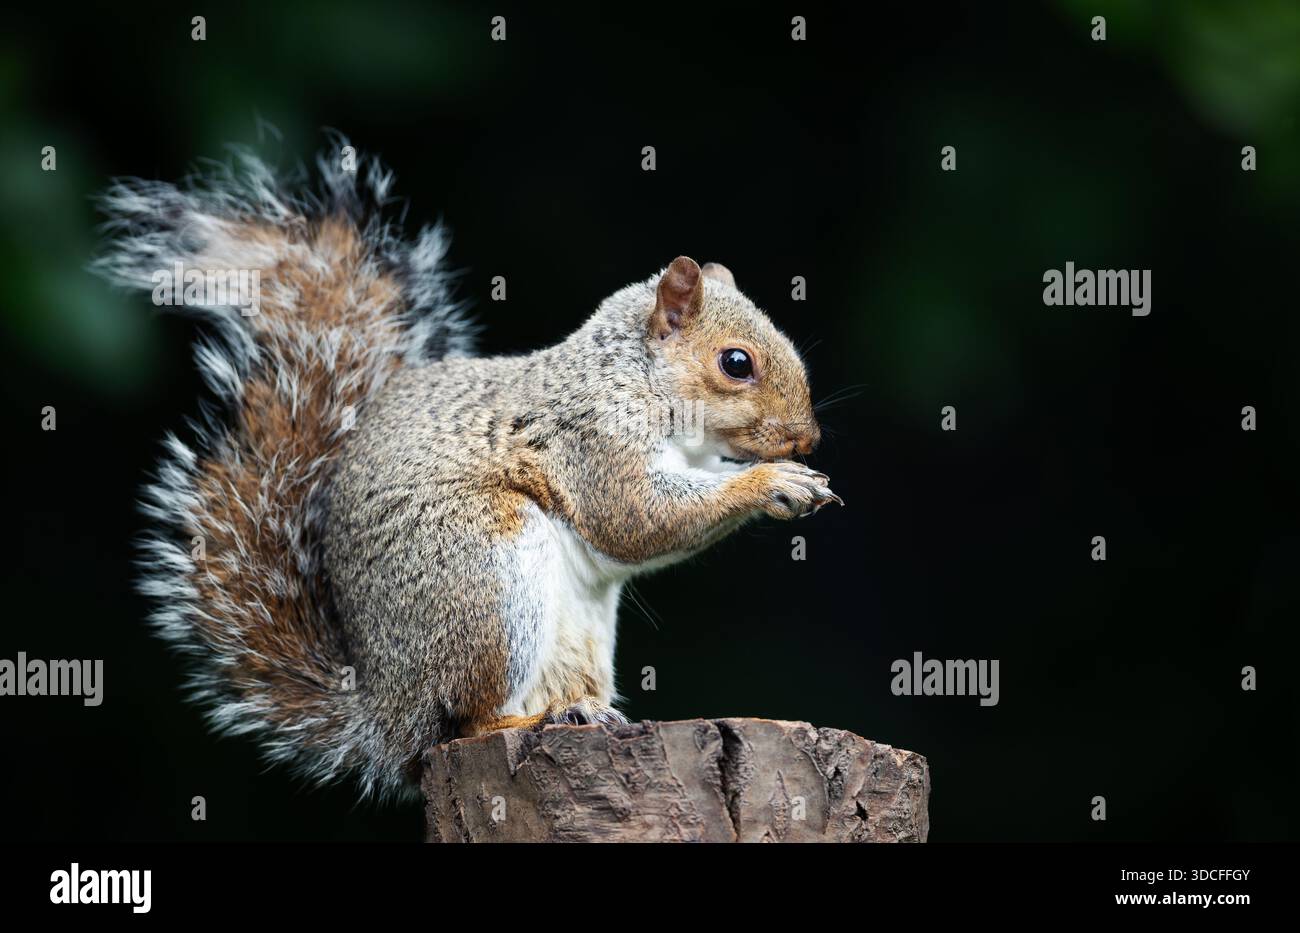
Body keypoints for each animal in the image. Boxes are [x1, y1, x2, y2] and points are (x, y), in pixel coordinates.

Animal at [93, 141, 840, 800]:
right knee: (465, 722)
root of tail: (387, 714)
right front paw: (775, 483)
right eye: (736, 363)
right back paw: (535, 716)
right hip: (484, 571)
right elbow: (635, 519)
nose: (808, 437)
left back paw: (581, 710)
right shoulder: (593, 440)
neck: (635, 379)